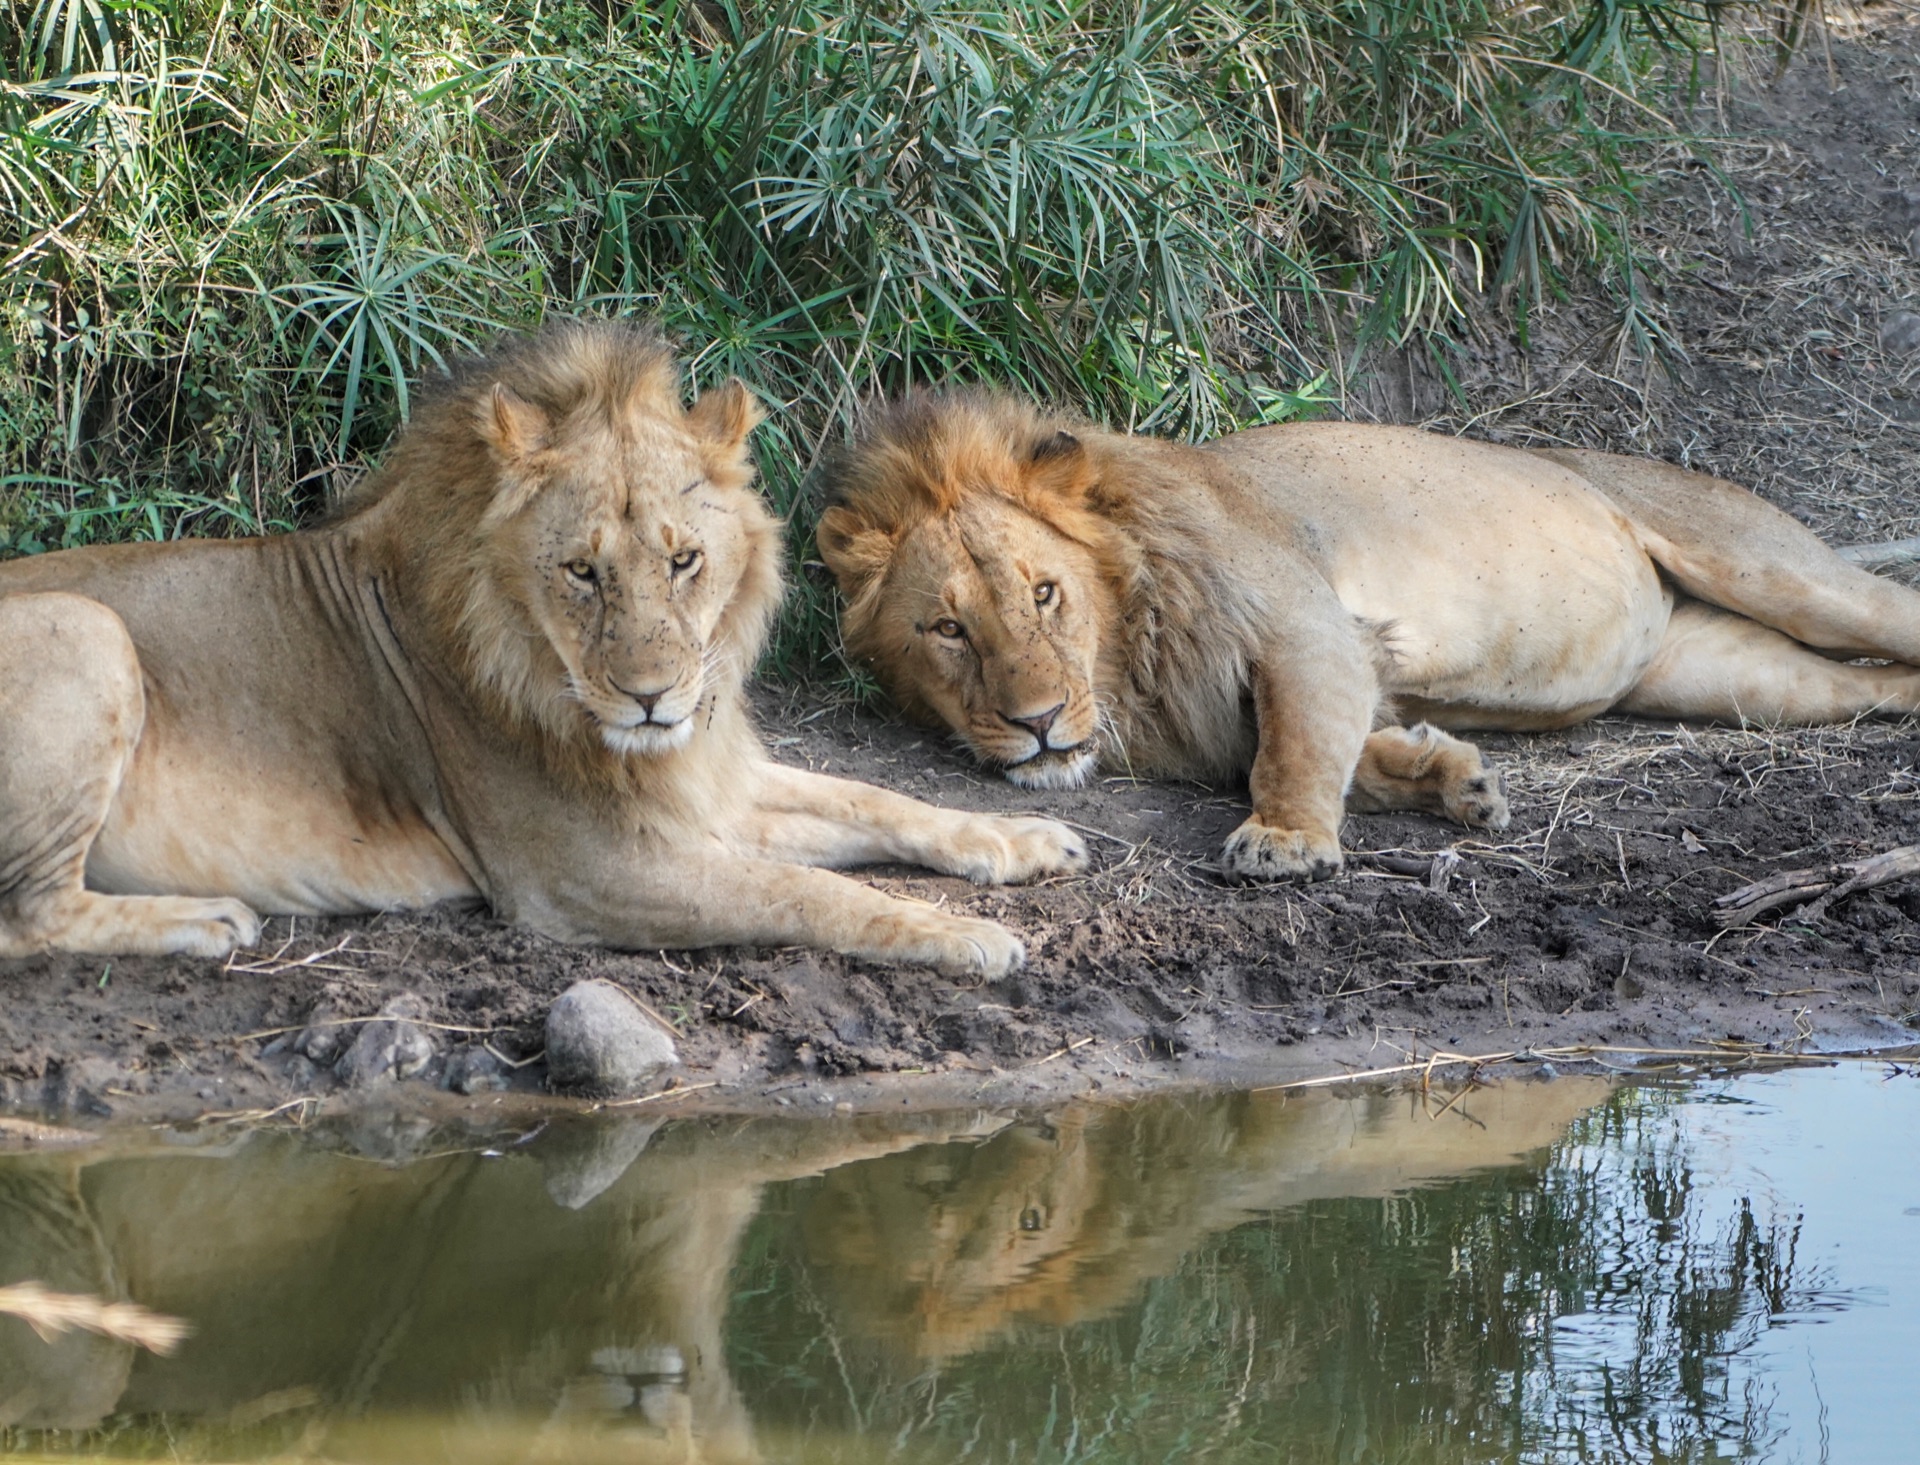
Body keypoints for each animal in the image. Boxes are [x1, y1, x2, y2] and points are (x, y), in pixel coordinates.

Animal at [0, 326, 1082, 979]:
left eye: (684, 560)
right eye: (581, 572)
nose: (651, 699)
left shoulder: (705, 784)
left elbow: (873, 799)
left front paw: (1023, 840)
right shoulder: (586, 873)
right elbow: (807, 890)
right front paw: (963, 932)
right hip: (87, 632)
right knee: (28, 918)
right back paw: (201, 920)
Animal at [817, 389, 1920, 887]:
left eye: (1046, 594)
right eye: (949, 629)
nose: (1038, 723)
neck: (1129, 663)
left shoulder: (1308, 627)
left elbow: (1296, 746)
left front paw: (1285, 839)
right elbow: (1343, 752)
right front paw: (1454, 778)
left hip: (1776, 571)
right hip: (1732, 676)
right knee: (1867, 687)